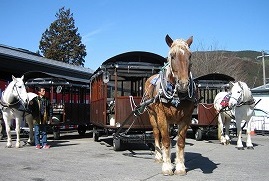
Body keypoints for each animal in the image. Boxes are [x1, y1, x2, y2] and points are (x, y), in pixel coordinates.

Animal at [143, 34, 194, 175]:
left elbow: (180, 143)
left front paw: (180, 166)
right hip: (152, 115)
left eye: (190, 55)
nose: (183, 84)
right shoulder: (161, 116)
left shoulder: (186, 118)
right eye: (172, 55)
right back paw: (158, 156)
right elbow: (165, 141)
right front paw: (166, 166)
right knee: (157, 133)